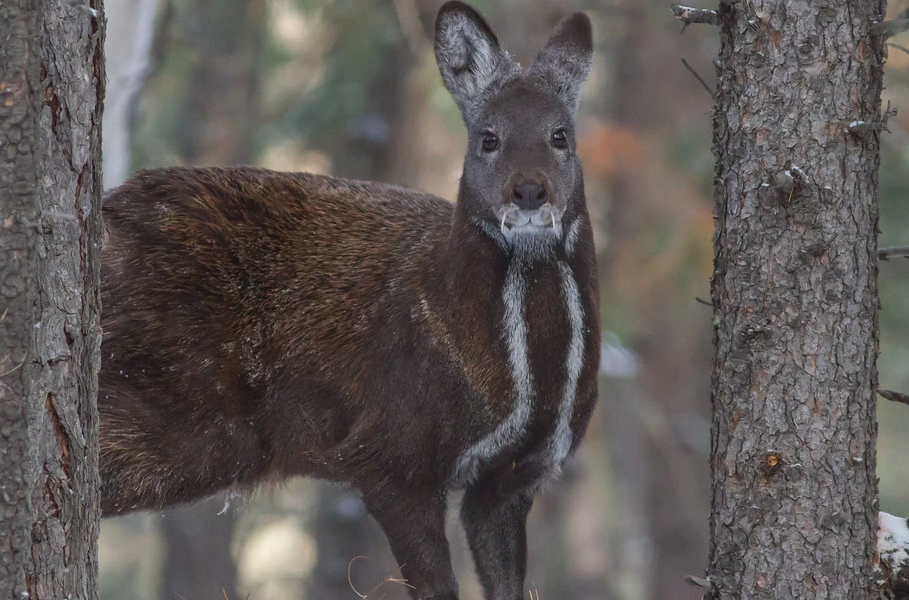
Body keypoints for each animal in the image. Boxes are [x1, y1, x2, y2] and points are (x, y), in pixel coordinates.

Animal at [99, 2, 600, 596]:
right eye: (489, 138)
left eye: (560, 135)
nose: (527, 191)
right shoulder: (389, 451)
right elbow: (436, 585)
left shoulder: (516, 477)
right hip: (170, 414)